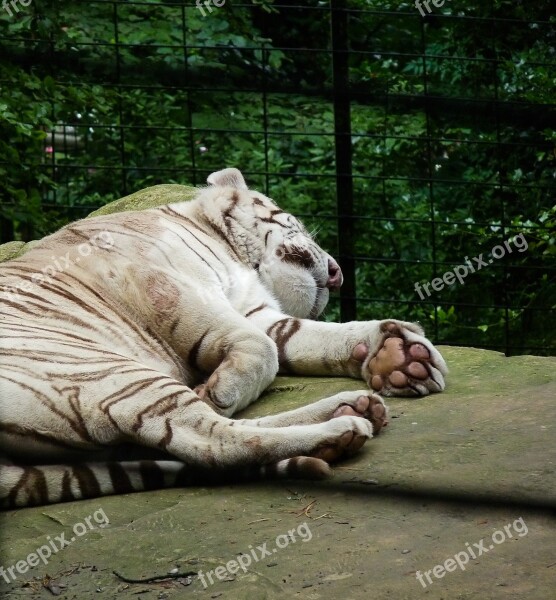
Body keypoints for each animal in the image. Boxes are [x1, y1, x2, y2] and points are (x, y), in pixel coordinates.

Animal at [0, 168, 446, 506]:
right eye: (294, 222)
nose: (336, 274)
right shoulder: (163, 282)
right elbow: (263, 352)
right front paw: (216, 390)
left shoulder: (254, 311)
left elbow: (305, 337)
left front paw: (402, 356)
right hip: (104, 372)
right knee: (212, 440)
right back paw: (340, 429)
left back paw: (352, 408)